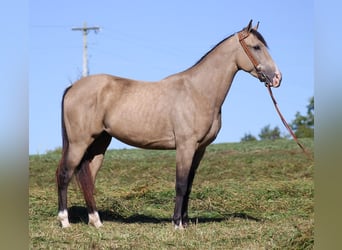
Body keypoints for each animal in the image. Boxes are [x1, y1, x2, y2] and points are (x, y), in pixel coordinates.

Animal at [55, 20, 280, 229]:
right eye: (256, 47)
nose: (277, 78)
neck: (198, 91)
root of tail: (72, 87)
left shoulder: (199, 149)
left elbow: (189, 185)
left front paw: (186, 223)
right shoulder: (185, 146)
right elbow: (180, 184)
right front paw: (177, 224)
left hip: (99, 144)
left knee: (88, 179)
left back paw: (96, 221)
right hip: (79, 143)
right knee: (64, 174)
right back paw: (65, 221)